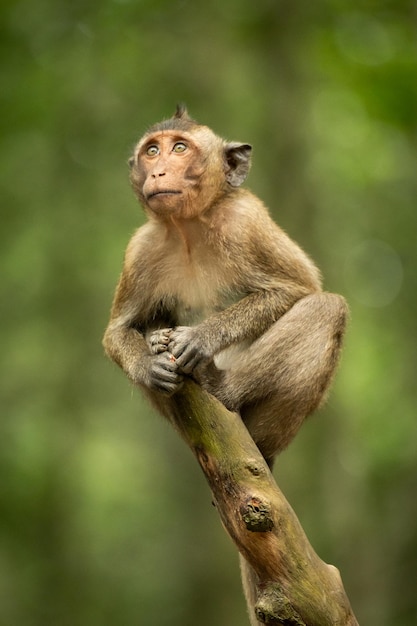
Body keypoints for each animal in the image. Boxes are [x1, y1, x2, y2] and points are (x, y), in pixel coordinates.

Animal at [104, 107, 348, 624]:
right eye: (152, 150)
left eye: (180, 148)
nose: (158, 171)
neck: (189, 227)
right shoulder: (140, 249)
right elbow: (118, 330)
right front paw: (149, 362)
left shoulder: (247, 221)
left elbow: (299, 288)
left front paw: (199, 338)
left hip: (265, 426)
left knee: (328, 308)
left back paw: (219, 385)